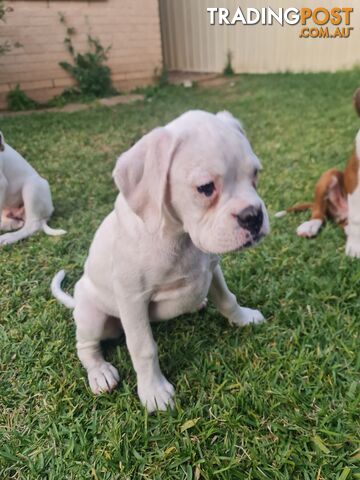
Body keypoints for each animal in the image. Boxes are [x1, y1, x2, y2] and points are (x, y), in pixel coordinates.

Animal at [52, 109, 268, 412]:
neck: (180, 237)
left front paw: (244, 318)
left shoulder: (212, 270)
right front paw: (153, 391)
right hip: (92, 316)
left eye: (255, 174)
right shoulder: (132, 298)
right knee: (85, 347)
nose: (254, 216)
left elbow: (228, 300)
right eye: (205, 188)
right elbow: (143, 348)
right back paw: (100, 372)